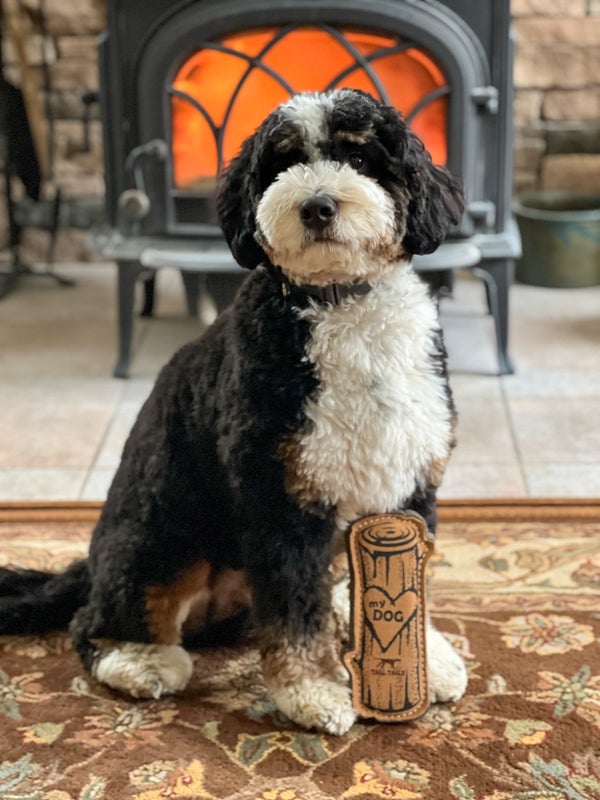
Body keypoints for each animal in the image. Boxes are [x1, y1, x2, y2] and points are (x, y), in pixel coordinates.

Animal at [0, 89, 467, 735]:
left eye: (361, 158)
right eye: (282, 163)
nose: (317, 205)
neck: (342, 305)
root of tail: (87, 567)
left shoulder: (412, 482)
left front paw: (431, 659)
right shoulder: (281, 499)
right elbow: (295, 609)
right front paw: (314, 691)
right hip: (161, 539)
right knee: (95, 622)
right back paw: (142, 661)